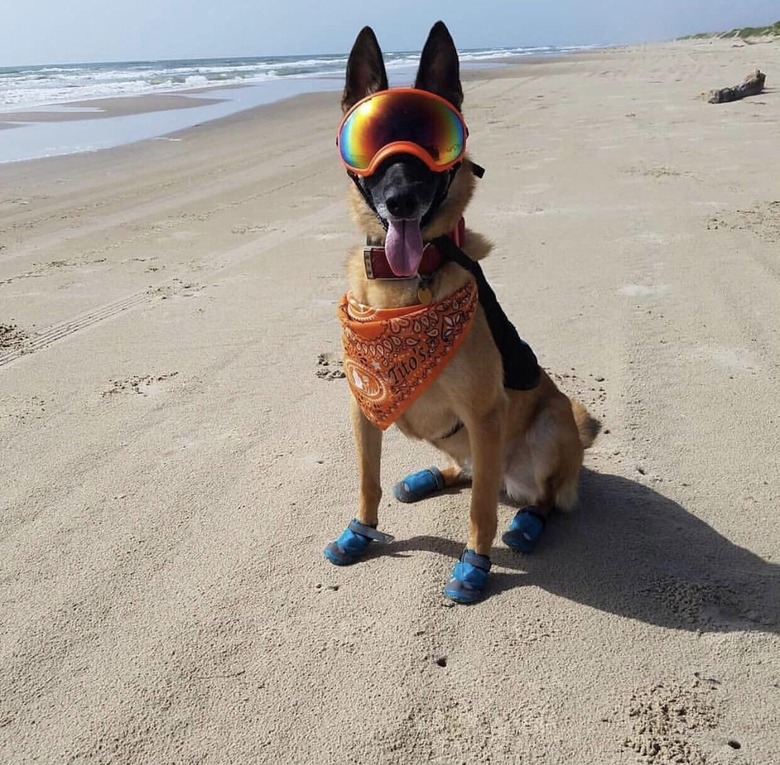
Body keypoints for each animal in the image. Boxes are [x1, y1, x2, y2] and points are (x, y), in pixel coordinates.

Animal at [322, 19, 596, 604]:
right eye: (371, 143)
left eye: (433, 144)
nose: (402, 200)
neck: (405, 289)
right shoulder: (363, 408)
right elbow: (367, 481)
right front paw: (361, 532)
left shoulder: (484, 412)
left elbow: (480, 511)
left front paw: (475, 564)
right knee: (472, 472)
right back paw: (432, 476)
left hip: (547, 425)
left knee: (535, 497)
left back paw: (526, 523)